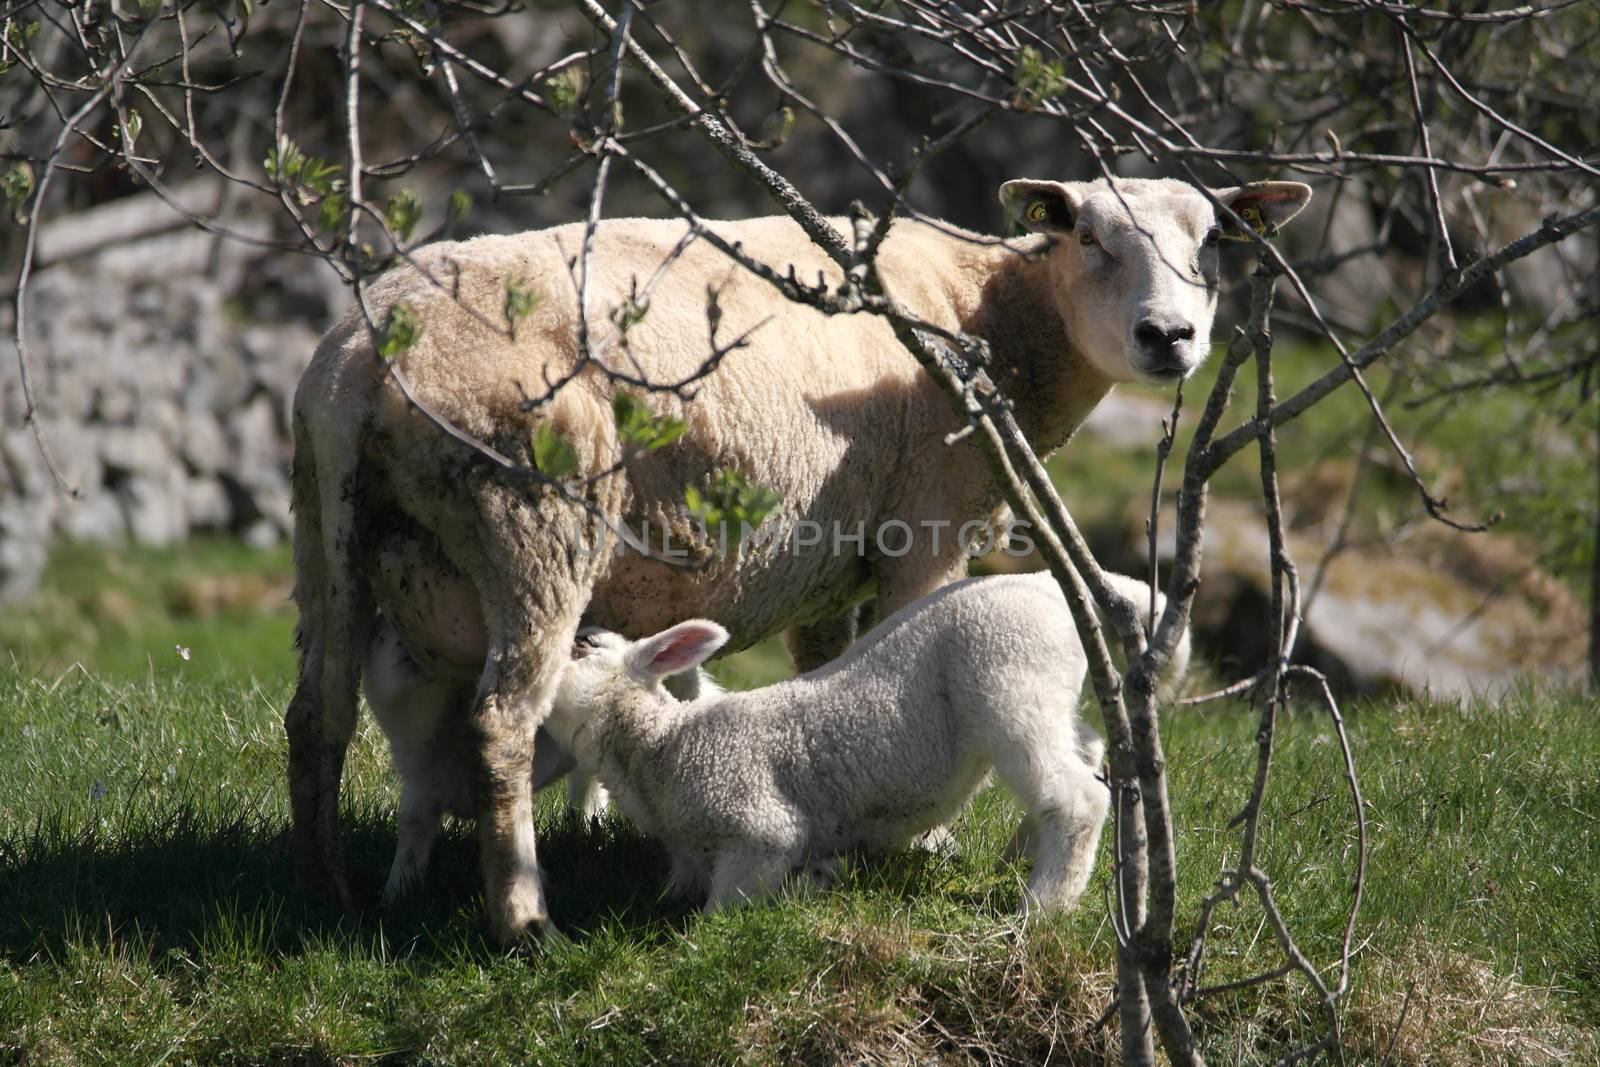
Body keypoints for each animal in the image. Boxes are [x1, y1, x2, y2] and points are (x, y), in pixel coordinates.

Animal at [547, 572, 1190, 915]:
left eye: (583, 648)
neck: (661, 746)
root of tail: (1047, 582)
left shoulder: (758, 829)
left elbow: (726, 910)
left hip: (1010, 679)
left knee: (1077, 796)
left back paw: (1044, 906)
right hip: (1047, 692)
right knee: (1085, 749)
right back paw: (1020, 854)